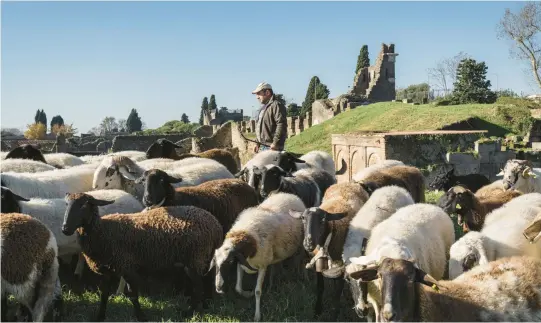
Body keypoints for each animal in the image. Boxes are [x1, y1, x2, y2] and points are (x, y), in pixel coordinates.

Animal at [62, 194, 223, 322]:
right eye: (66, 204)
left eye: (84, 205)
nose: (65, 229)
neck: (104, 230)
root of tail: (215, 225)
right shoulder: (108, 270)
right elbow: (104, 295)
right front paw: (100, 316)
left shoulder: (127, 267)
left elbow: (133, 295)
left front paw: (141, 317)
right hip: (203, 257)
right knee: (207, 280)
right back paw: (206, 305)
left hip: (195, 258)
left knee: (198, 286)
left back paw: (190, 312)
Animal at [209, 194, 306, 322]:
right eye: (215, 263)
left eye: (229, 261)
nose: (218, 288)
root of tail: (290, 195)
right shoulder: (241, 262)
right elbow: (238, 288)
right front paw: (247, 294)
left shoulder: (262, 265)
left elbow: (258, 291)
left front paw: (257, 315)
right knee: (276, 264)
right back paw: (272, 284)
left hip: (300, 245)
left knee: (300, 260)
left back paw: (301, 276)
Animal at [288, 184, 370, 320]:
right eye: (303, 218)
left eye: (323, 220)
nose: (308, 244)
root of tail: (350, 183)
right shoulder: (318, 264)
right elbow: (320, 287)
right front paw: (317, 310)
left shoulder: (343, 266)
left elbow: (337, 293)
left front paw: (334, 314)